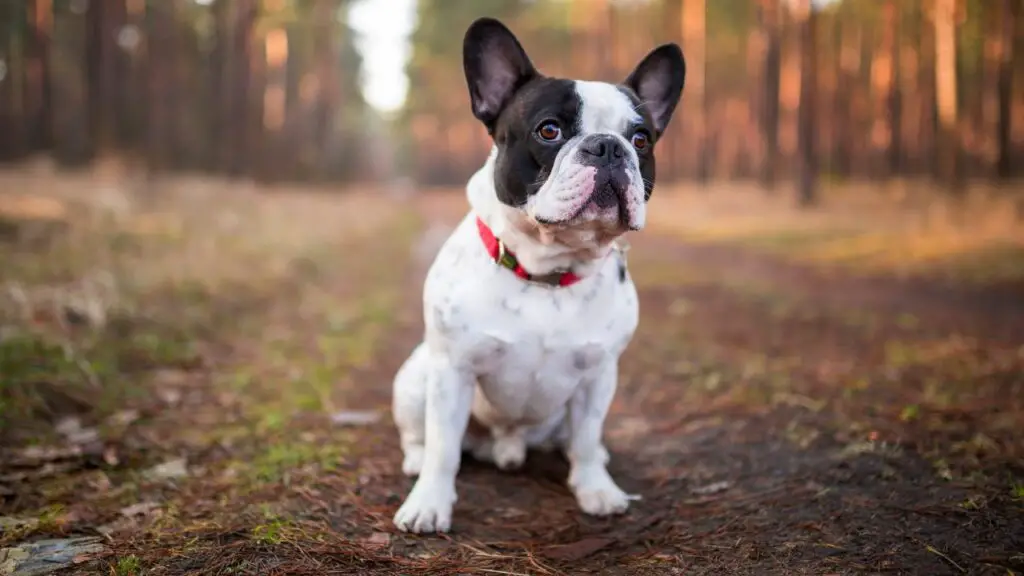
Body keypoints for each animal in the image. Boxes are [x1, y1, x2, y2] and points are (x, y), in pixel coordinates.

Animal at [387, 15, 684, 532]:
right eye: (549, 130)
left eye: (641, 139)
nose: (608, 147)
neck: (548, 271)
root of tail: (507, 444)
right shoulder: (453, 370)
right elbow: (443, 447)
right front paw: (428, 504)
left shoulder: (598, 376)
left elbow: (586, 437)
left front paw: (596, 490)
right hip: (415, 377)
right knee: (421, 437)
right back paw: (415, 461)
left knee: (577, 440)